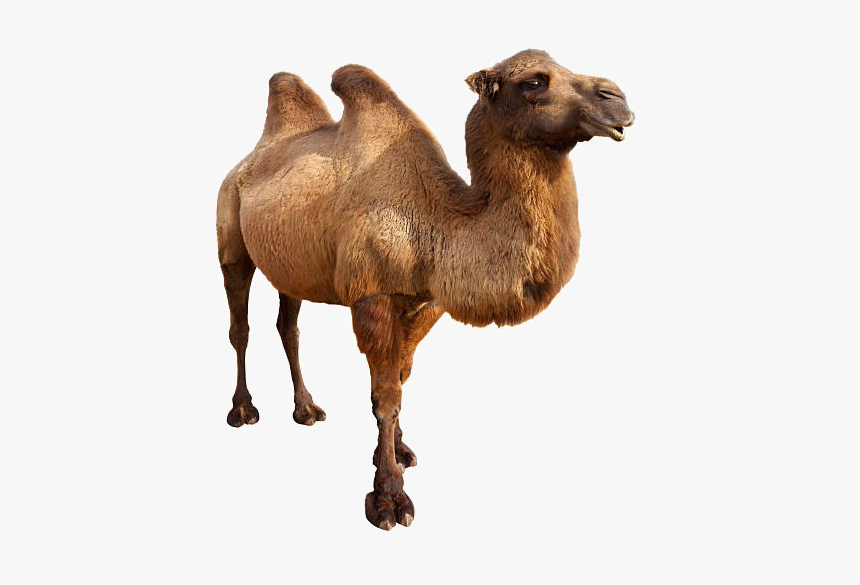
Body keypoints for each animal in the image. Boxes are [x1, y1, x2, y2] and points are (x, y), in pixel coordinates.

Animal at [216, 49, 634, 530]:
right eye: (533, 82)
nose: (617, 99)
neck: (438, 218)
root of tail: (247, 162)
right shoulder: (371, 297)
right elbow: (385, 397)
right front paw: (388, 498)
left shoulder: (425, 302)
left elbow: (400, 378)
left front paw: (398, 451)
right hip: (230, 233)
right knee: (240, 326)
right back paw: (242, 411)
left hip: (291, 261)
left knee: (289, 326)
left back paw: (306, 410)